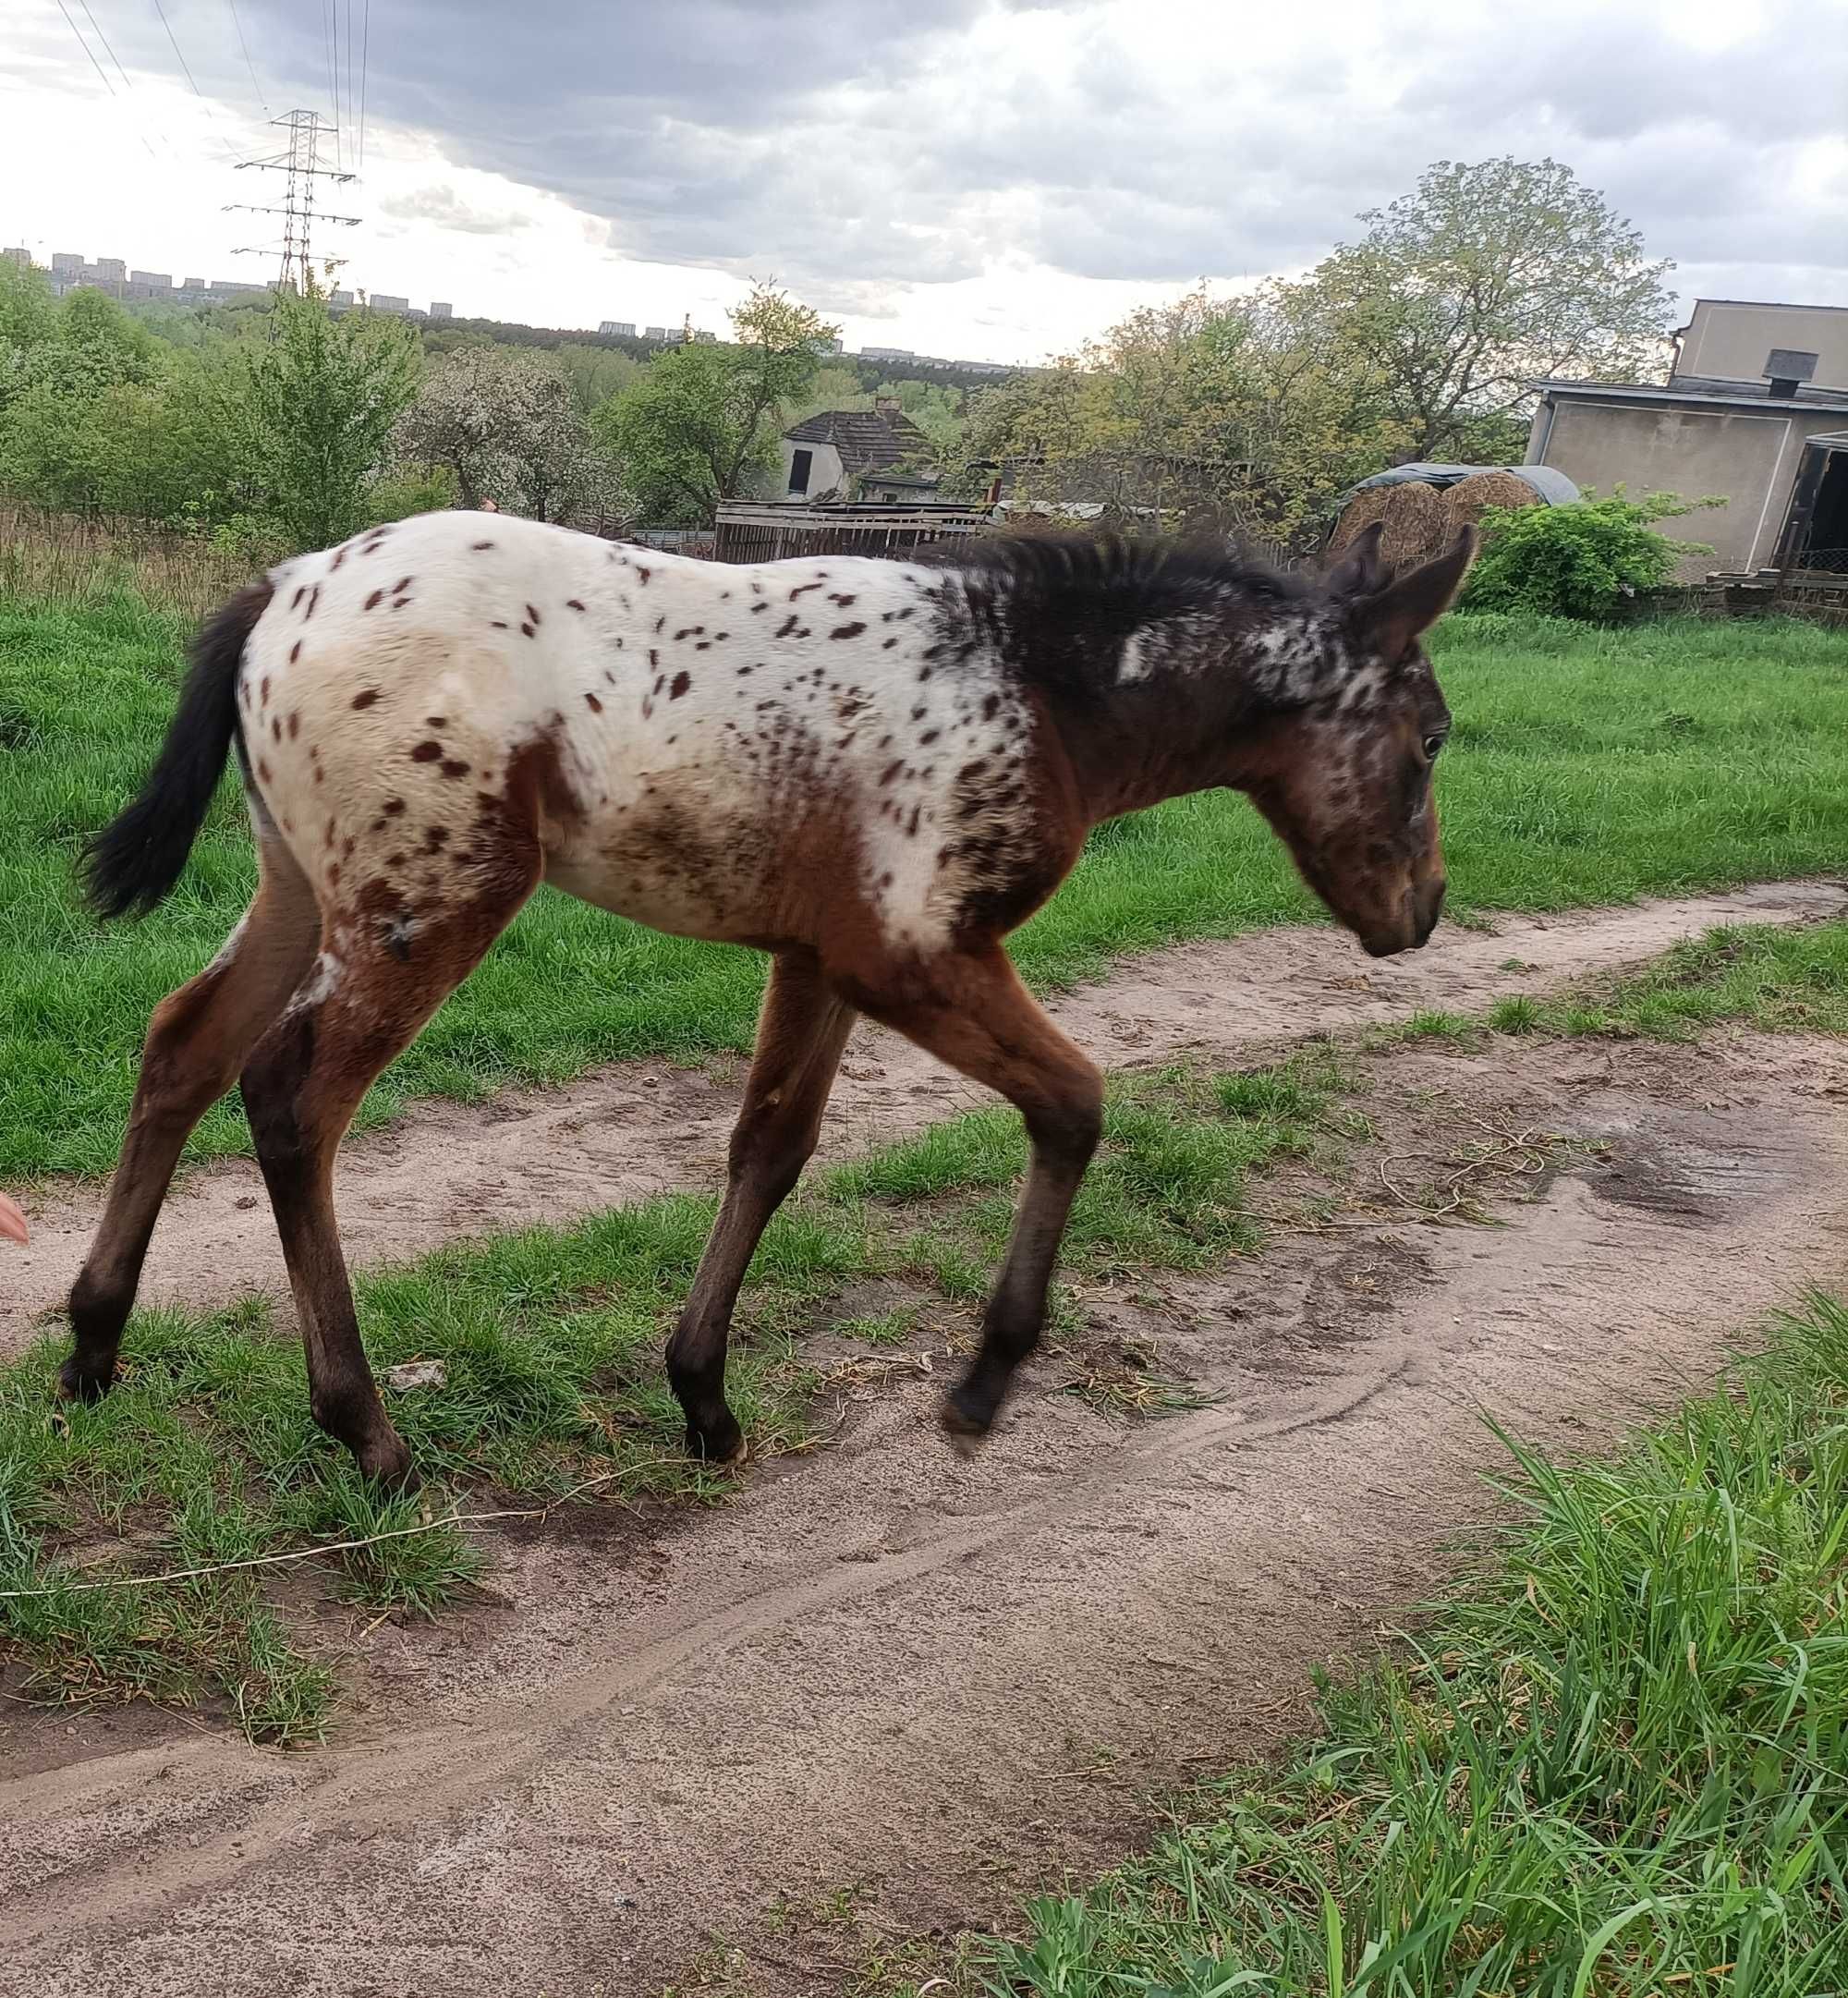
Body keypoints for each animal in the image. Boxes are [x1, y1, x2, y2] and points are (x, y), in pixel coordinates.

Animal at [68, 515, 1470, 1486]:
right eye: (1435, 735)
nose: (1422, 911)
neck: (1041, 688)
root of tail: (283, 589)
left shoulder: (819, 957)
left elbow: (773, 1144)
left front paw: (702, 1397)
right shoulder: (912, 953)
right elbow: (1075, 1102)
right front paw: (981, 1381)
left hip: (301, 890)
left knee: (183, 1043)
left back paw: (91, 1347)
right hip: (431, 904)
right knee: (291, 1098)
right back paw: (365, 1432)